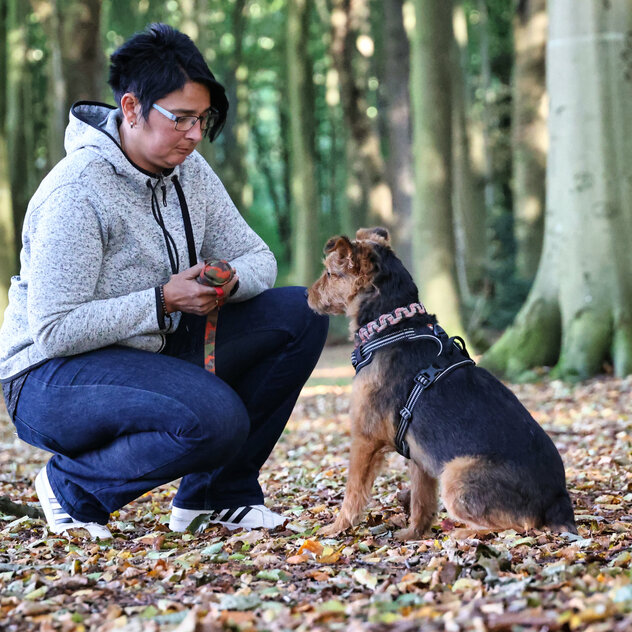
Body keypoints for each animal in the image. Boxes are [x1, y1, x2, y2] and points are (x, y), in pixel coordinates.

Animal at [306, 227, 576, 540]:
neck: (392, 325)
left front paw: (336, 527)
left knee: (520, 525)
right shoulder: (420, 455)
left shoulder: (365, 438)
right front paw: (413, 534)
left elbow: (353, 492)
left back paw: (463, 533)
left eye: (330, 273)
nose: (306, 294)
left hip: (456, 474)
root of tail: (558, 500)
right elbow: (421, 501)